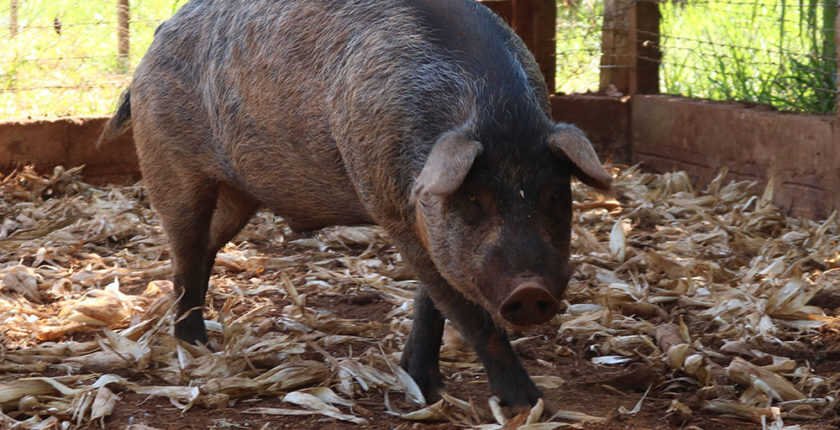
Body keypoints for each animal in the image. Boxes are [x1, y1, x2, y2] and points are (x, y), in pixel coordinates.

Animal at [98, 0, 611, 407]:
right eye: (474, 198)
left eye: (555, 195)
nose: (531, 290)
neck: (492, 111)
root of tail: (153, 42)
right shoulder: (389, 203)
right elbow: (464, 310)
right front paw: (530, 404)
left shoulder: (421, 220)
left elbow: (434, 300)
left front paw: (426, 387)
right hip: (170, 161)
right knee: (184, 251)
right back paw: (195, 346)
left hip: (239, 193)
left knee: (204, 251)